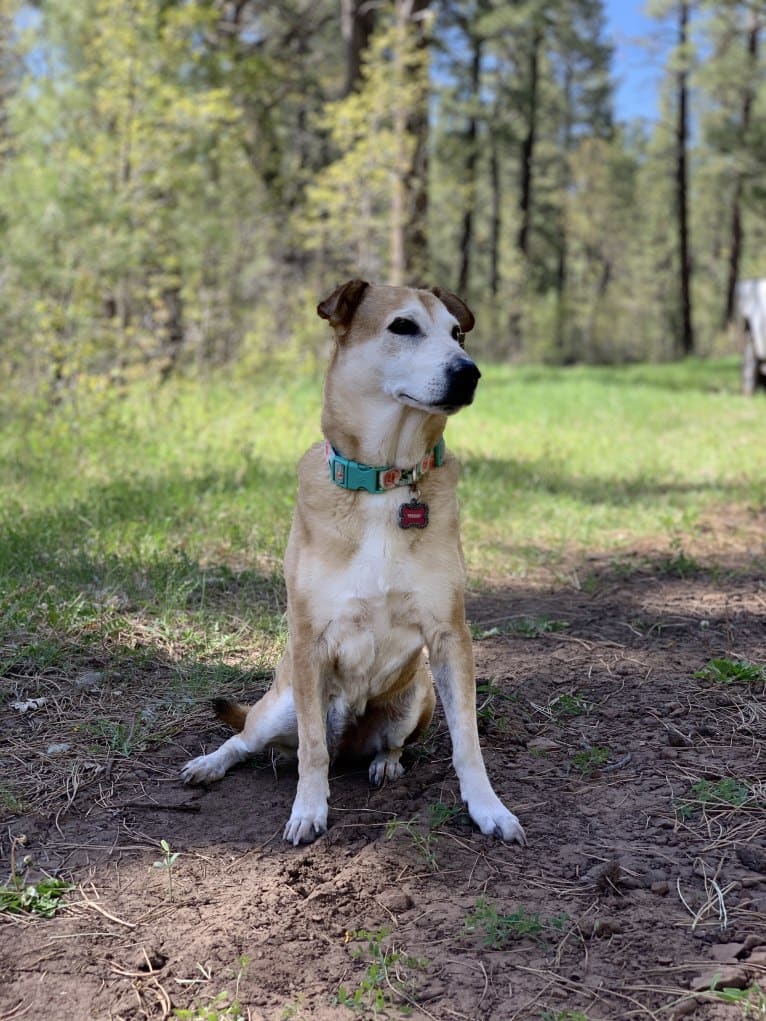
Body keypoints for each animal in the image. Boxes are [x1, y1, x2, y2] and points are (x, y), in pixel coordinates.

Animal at [180, 279, 527, 845]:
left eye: (457, 333)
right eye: (403, 326)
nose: (469, 372)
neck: (385, 483)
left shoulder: (449, 636)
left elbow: (468, 742)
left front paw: (488, 808)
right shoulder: (309, 641)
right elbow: (311, 752)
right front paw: (308, 810)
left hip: (417, 696)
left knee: (390, 742)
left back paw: (385, 763)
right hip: (281, 705)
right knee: (253, 740)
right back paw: (211, 763)